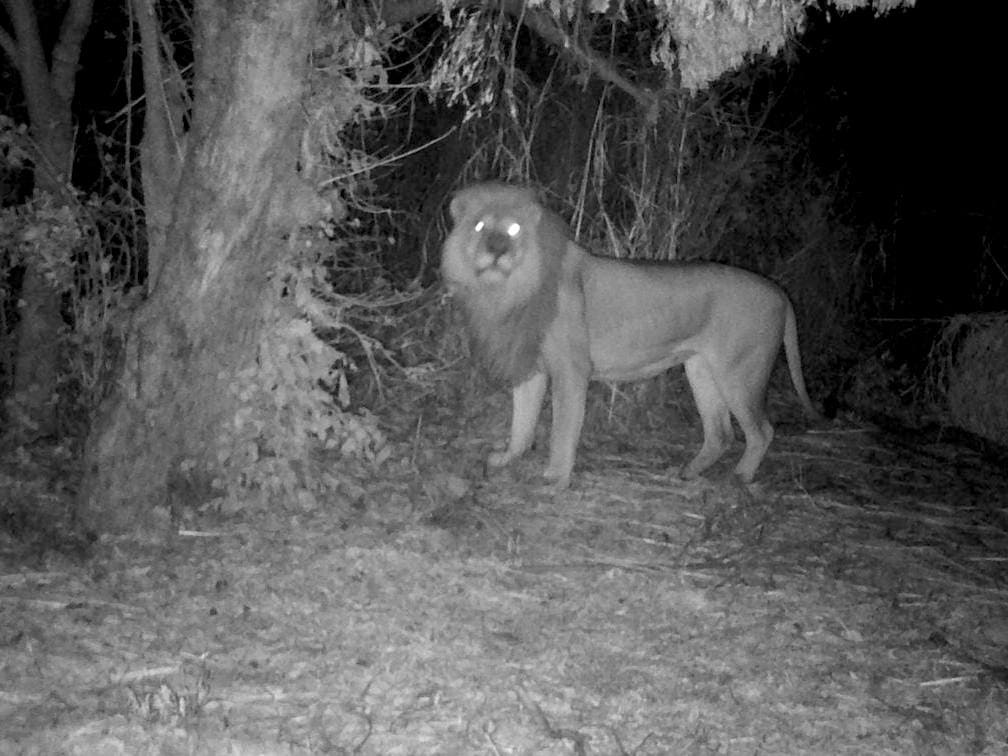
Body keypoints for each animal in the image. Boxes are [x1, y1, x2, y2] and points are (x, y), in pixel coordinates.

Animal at [441, 182, 819, 490]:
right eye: (479, 226)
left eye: (514, 228)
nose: (497, 249)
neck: (506, 289)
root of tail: (779, 292)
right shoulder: (532, 365)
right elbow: (523, 421)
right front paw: (508, 457)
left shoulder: (571, 370)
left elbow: (563, 427)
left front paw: (555, 478)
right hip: (701, 370)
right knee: (721, 433)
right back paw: (686, 472)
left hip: (740, 373)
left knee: (761, 431)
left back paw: (739, 477)